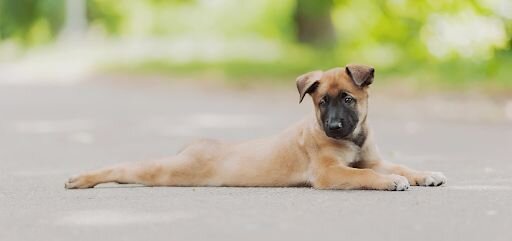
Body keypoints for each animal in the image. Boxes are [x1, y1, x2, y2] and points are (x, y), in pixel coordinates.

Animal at [66, 65, 446, 191]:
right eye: (322, 102)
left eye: (348, 99)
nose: (334, 126)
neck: (354, 138)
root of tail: (196, 145)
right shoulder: (329, 173)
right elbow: (364, 175)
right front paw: (391, 182)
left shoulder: (372, 159)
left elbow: (399, 165)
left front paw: (425, 174)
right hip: (168, 171)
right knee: (126, 168)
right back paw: (80, 179)